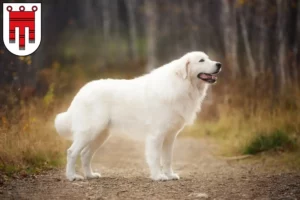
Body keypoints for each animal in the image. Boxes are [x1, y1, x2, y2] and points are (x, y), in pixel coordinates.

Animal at [55, 51, 221, 181]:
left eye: (208, 58)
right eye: (201, 60)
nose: (219, 64)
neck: (181, 84)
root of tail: (81, 91)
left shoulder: (170, 136)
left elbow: (167, 159)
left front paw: (170, 175)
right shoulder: (156, 135)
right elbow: (155, 158)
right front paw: (158, 176)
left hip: (100, 135)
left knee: (85, 154)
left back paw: (90, 175)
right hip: (90, 131)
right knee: (72, 152)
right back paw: (72, 176)